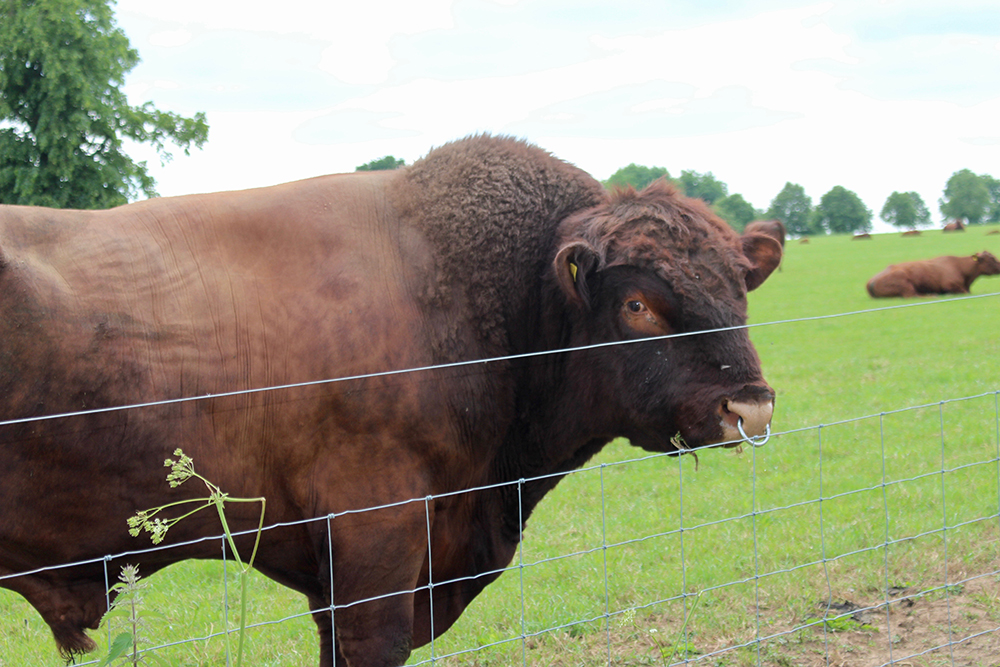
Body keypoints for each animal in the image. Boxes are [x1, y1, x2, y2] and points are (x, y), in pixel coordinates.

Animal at [868, 250, 1000, 298]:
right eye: (992, 258)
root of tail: (871, 281)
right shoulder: (950, 285)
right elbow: (964, 292)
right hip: (904, 282)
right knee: (912, 295)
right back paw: (932, 295)